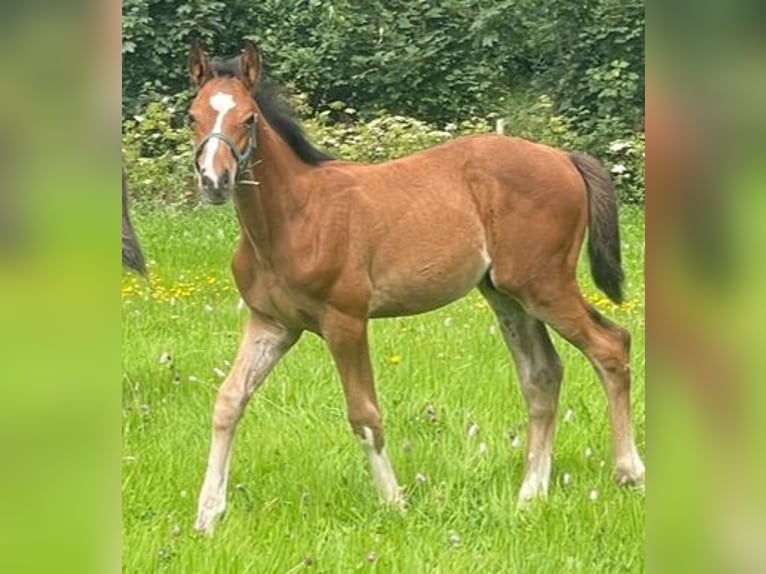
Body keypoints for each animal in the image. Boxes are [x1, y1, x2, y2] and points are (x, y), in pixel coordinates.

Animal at [189, 39, 644, 536]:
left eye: (249, 118)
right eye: (192, 116)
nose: (214, 181)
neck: (293, 217)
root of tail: (564, 157)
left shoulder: (345, 321)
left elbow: (365, 414)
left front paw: (394, 503)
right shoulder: (272, 323)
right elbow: (229, 400)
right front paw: (207, 515)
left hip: (544, 285)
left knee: (611, 345)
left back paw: (628, 472)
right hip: (507, 294)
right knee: (542, 375)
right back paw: (530, 494)